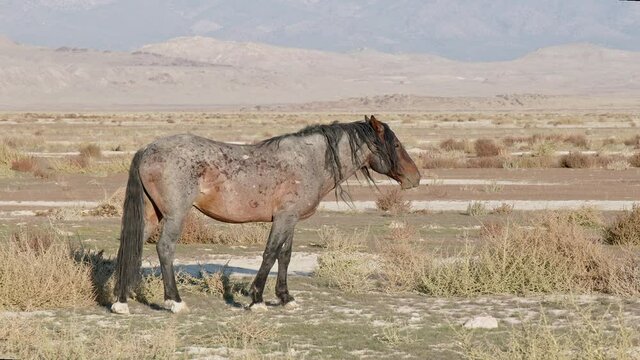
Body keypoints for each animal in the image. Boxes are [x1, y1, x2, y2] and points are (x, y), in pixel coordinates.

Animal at [111, 116, 420, 316]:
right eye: (395, 145)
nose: (415, 178)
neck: (309, 160)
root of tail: (147, 149)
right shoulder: (283, 219)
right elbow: (270, 254)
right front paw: (256, 299)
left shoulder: (290, 220)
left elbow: (285, 256)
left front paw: (285, 298)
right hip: (175, 215)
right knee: (165, 248)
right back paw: (174, 302)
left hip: (152, 213)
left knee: (130, 246)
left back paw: (121, 301)